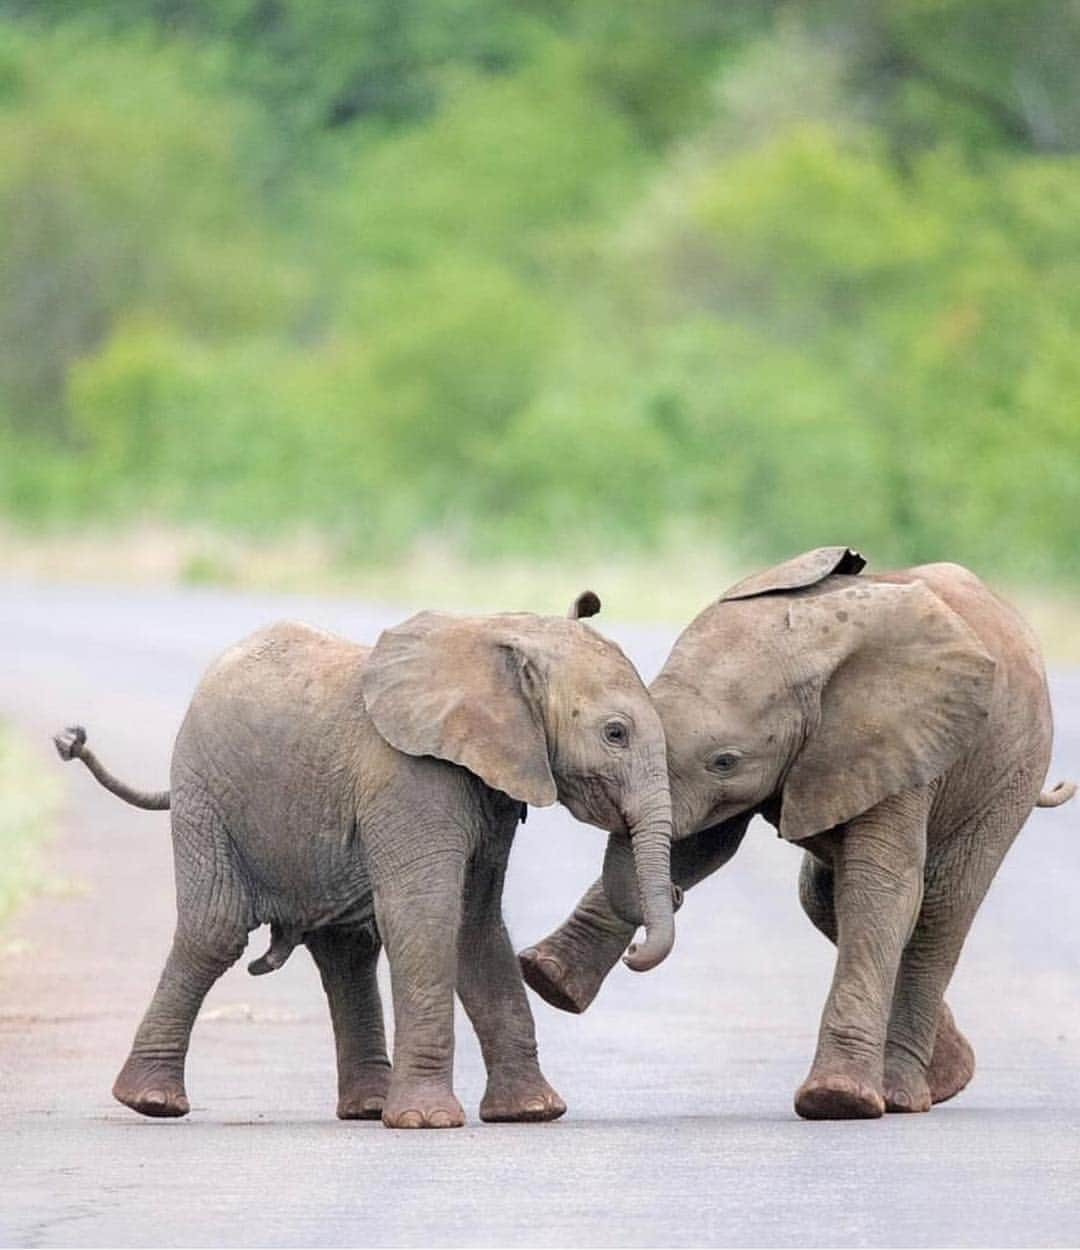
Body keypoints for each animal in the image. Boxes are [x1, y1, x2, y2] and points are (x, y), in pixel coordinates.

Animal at [55, 605, 675, 1135]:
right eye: (615, 733)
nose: (634, 951)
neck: (497, 635)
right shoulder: (411, 777)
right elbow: (426, 917)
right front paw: (427, 1123)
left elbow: (474, 926)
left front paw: (532, 1113)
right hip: (205, 798)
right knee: (214, 933)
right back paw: (151, 1102)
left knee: (347, 952)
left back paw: (368, 1108)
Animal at [520, 547, 1070, 1125]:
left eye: (725, 761)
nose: (660, 912)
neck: (811, 642)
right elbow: (703, 847)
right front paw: (547, 979)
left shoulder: (902, 742)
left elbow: (880, 890)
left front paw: (837, 1100)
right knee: (822, 900)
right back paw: (947, 1077)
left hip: (1008, 773)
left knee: (939, 911)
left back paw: (902, 1094)